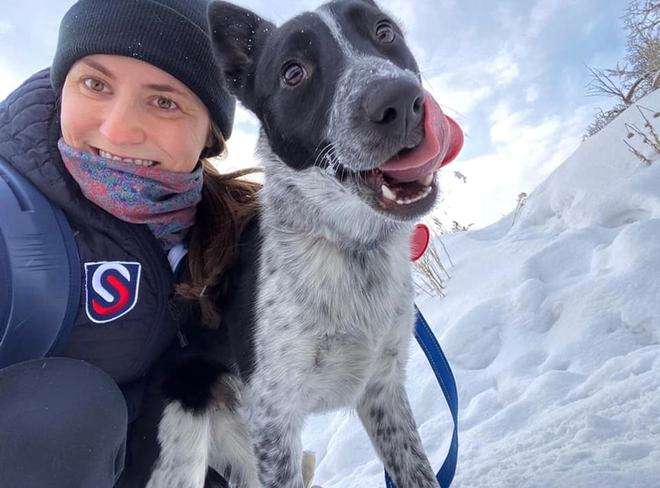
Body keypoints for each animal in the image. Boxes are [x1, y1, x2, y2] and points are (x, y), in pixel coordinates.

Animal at [148, 0, 462, 488]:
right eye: (292, 72)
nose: (399, 101)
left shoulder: (383, 390)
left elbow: (418, 472)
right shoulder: (275, 421)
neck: (348, 245)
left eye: (384, 32)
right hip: (185, 448)